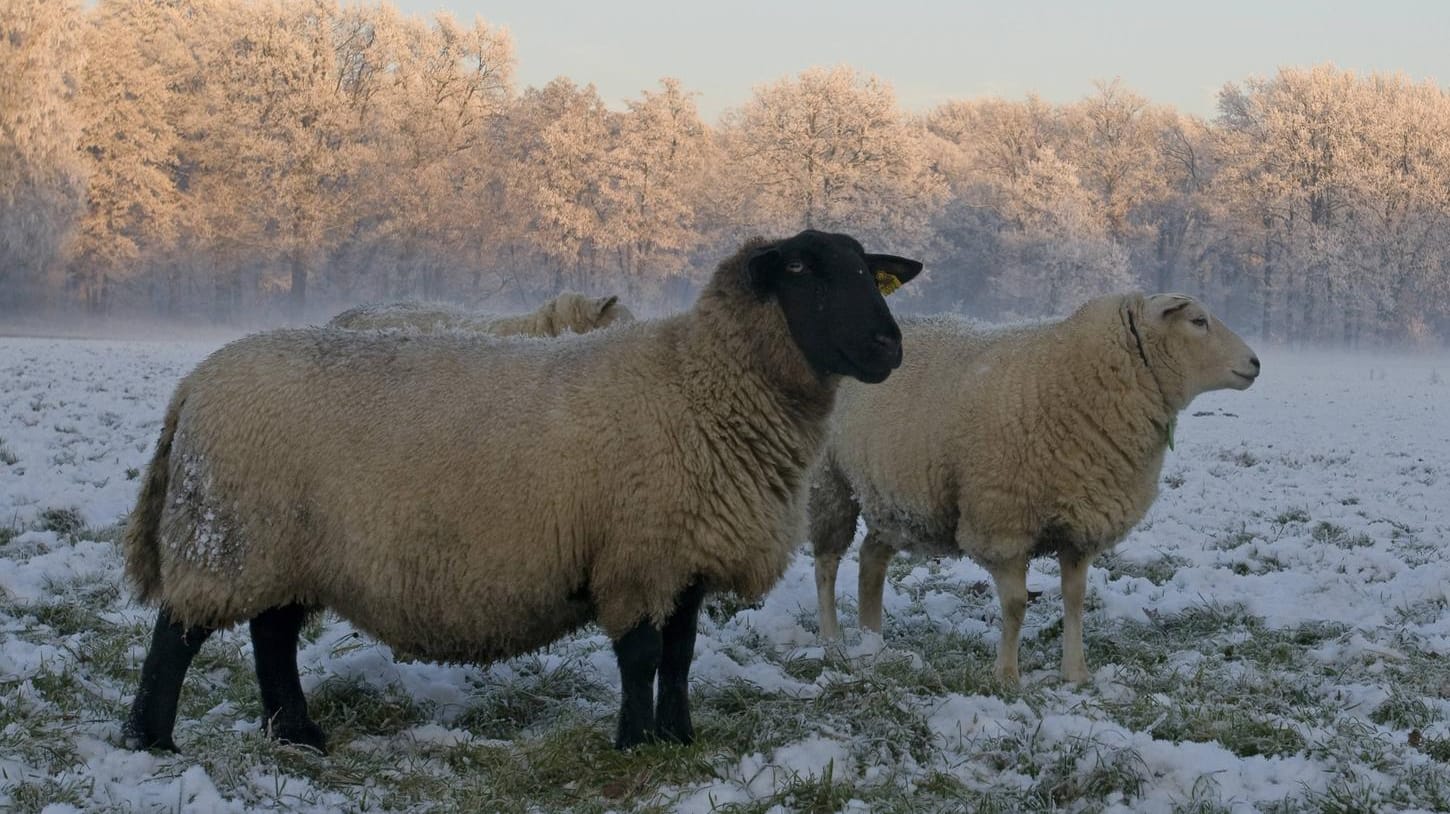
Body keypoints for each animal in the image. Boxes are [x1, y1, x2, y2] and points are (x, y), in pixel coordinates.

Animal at [121, 226, 916, 748]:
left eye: (865, 270)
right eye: (802, 268)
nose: (890, 346)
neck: (698, 381)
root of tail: (195, 382)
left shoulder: (682, 553)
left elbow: (681, 655)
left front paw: (679, 738)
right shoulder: (634, 554)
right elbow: (641, 657)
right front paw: (636, 744)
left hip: (284, 545)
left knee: (273, 633)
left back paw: (297, 734)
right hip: (227, 535)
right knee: (179, 636)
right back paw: (151, 739)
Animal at [812, 294, 1264, 681]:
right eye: (1198, 321)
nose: (1256, 363)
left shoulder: (1081, 525)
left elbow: (1075, 599)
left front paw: (1076, 673)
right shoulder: (1003, 521)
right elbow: (1015, 605)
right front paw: (1007, 676)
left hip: (890, 496)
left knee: (871, 558)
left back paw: (872, 642)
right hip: (829, 484)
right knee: (827, 564)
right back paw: (832, 641)